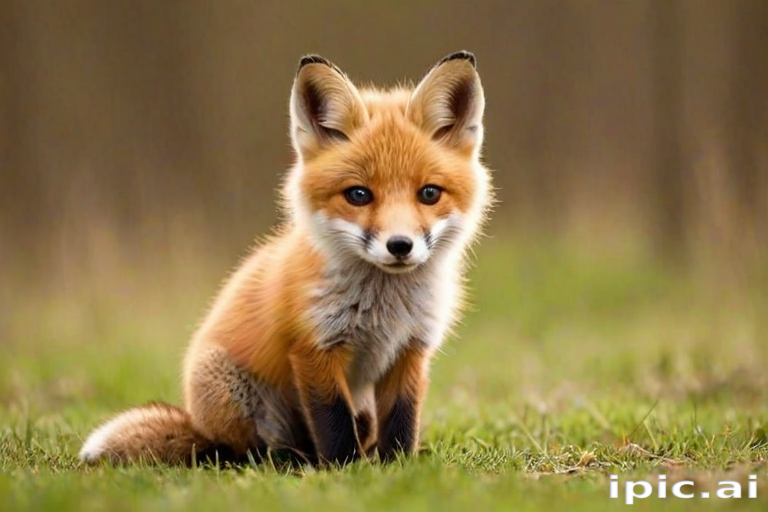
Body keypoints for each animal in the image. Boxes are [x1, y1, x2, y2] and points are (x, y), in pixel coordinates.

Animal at [79, 51, 493, 467]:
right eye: (358, 195)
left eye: (429, 193)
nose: (400, 245)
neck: (384, 310)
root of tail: (197, 425)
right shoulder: (313, 349)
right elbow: (333, 422)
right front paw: (345, 470)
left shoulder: (410, 350)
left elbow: (402, 422)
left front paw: (397, 467)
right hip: (233, 393)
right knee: (246, 452)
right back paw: (291, 461)